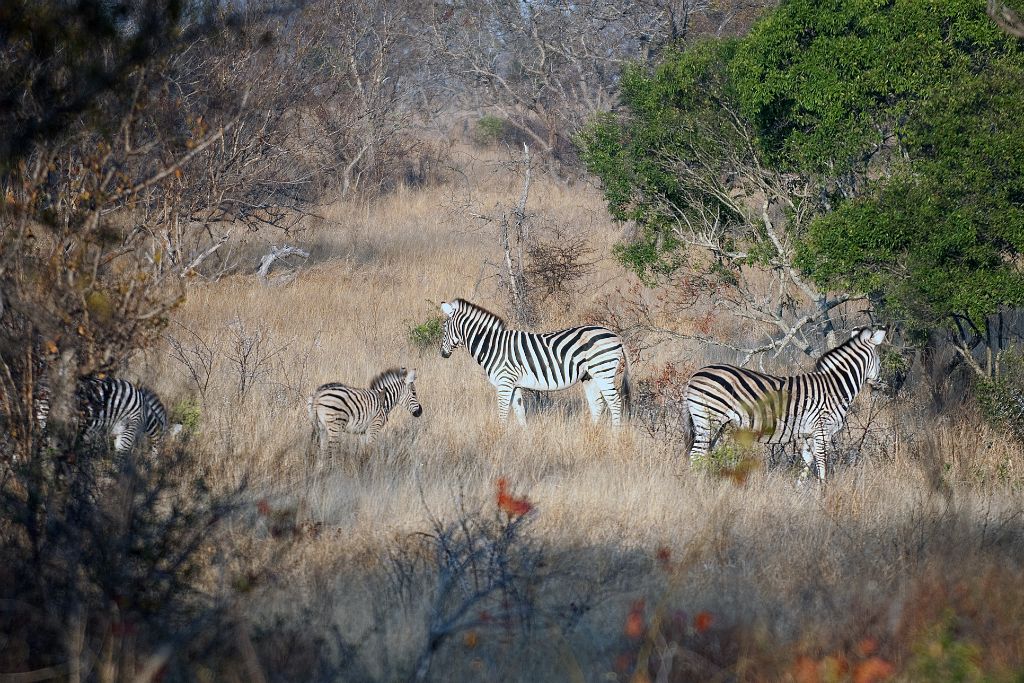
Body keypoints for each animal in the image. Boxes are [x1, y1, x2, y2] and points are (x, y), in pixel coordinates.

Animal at [440, 299, 630, 428]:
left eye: (443, 328)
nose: (442, 354)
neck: (492, 345)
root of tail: (616, 336)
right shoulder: (514, 384)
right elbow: (519, 412)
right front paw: (523, 437)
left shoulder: (504, 381)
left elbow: (502, 412)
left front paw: (500, 435)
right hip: (589, 376)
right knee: (597, 403)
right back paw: (593, 432)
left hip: (603, 370)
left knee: (614, 402)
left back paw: (614, 435)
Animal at [684, 329, 892, 481]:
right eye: (880, 362)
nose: (884, 385)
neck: (835, 386)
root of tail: (696, 374)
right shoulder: (822, 429)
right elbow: (822, 464)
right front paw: (823, 493)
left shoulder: (809, 433)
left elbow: (806, 464)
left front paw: (801, 496)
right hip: (707, 419)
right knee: (696, 456)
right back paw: (698, 488)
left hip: (717, 424)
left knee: (704, 454)